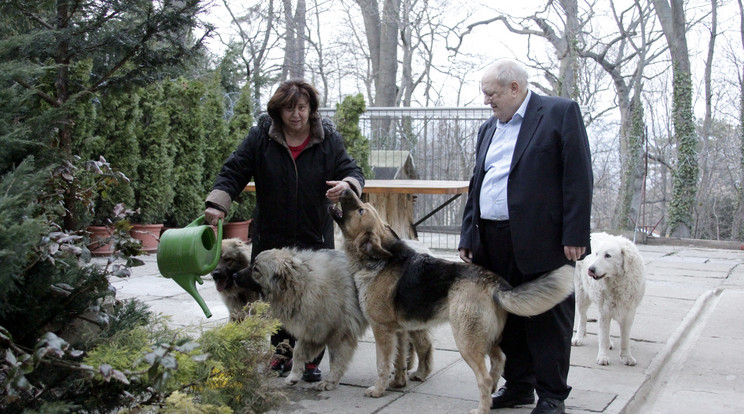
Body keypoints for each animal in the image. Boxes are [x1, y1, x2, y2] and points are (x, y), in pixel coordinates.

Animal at [326, 190, 576, 414]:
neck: (378, 260)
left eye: (361, 210)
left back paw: (482, 409)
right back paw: (493, 396)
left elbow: (383, 364)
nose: (345, 189)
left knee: (484, 378)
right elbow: (399, 360)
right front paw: (397, 383)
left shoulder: (383, 331)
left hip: (466, 341)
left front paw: (378, 390)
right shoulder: (399, 331)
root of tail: (495, 283)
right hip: (486, 338)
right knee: (499, 361)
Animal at [576, 233, 644, 366]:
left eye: (607, 255)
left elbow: (625, 338)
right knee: (583, 317)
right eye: (596, 254)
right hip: (581, 294)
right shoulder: (604, 310)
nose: (590, 269)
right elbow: (603, 336)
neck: (617, 281)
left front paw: (626, 357)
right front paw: (603, 357)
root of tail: (592, 233)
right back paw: (578, 338)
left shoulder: (628, 313)